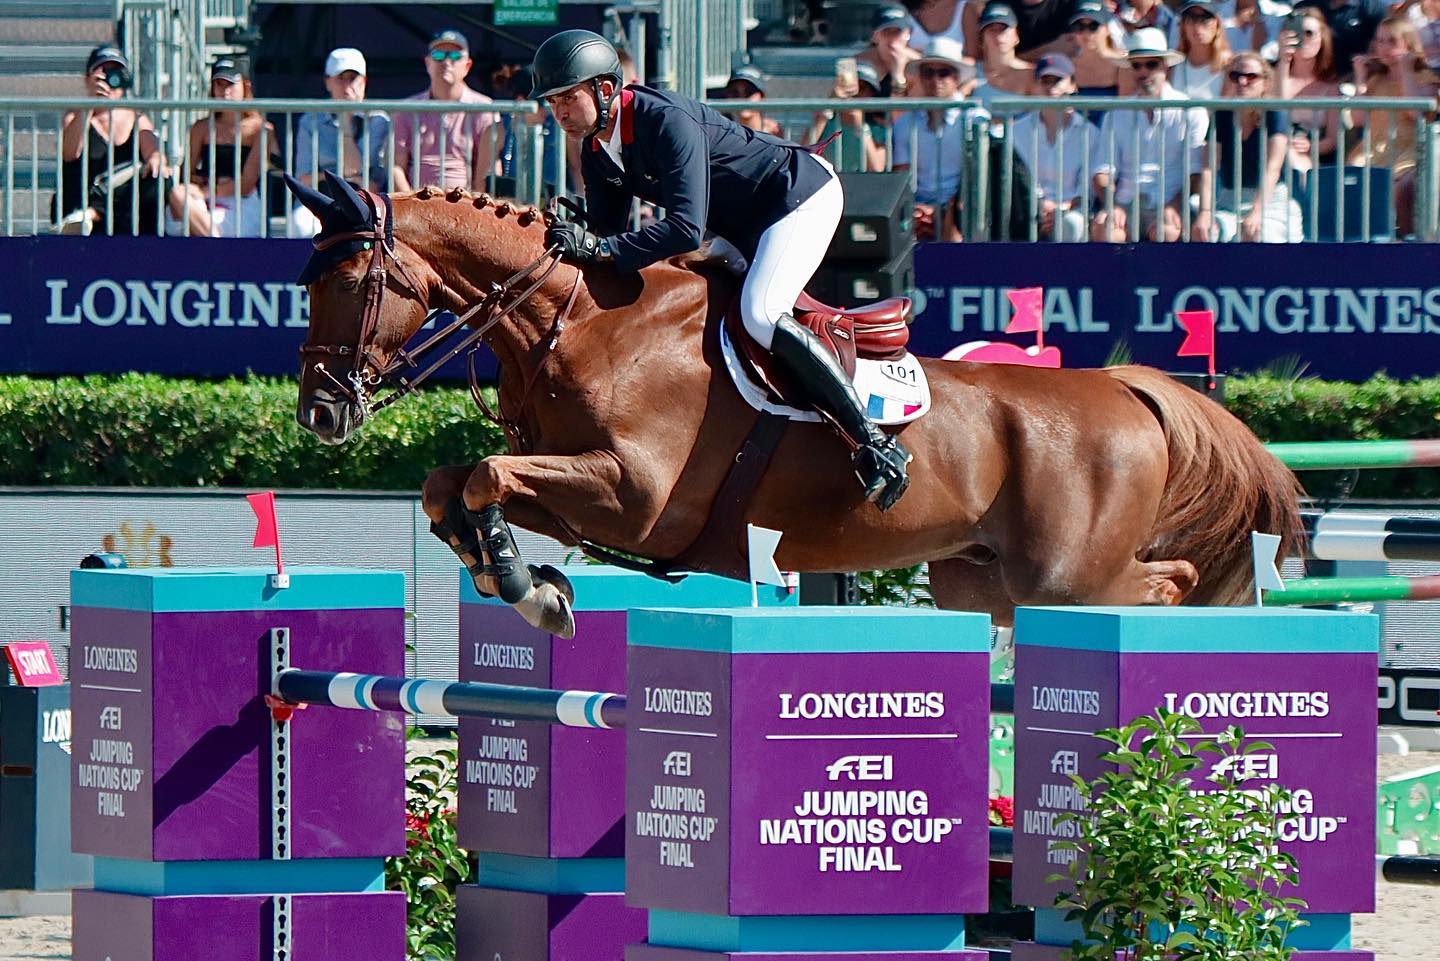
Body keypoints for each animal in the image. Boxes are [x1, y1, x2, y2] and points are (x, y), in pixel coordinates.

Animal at [286, 175, 1301, 639]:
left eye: (351, 283)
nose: (320, 416)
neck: (576, 321)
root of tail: (1125, 388)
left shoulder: (638, 498)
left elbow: (486, 474)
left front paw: (528, 585)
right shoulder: (577, 481)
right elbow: (448, 482)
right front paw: (521, 576)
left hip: (1065, 573)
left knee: (1167, 581)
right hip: (982, 580)